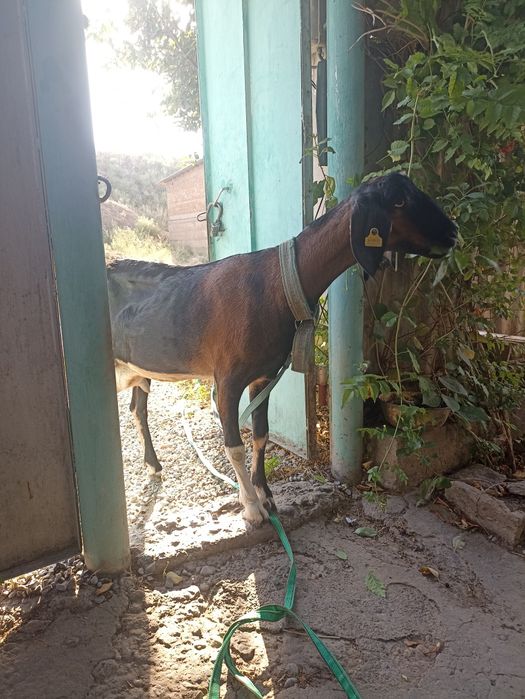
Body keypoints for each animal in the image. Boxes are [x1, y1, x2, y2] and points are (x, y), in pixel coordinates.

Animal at [107, 173, 457, 524]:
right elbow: (234, 445)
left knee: (138, 409)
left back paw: (153, 465)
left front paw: (266, 495)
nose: (453, 232)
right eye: (399, 201)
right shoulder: (227, 379)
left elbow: (261, 433)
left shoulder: (264, 376)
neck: (276, 284)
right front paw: (251, 507)